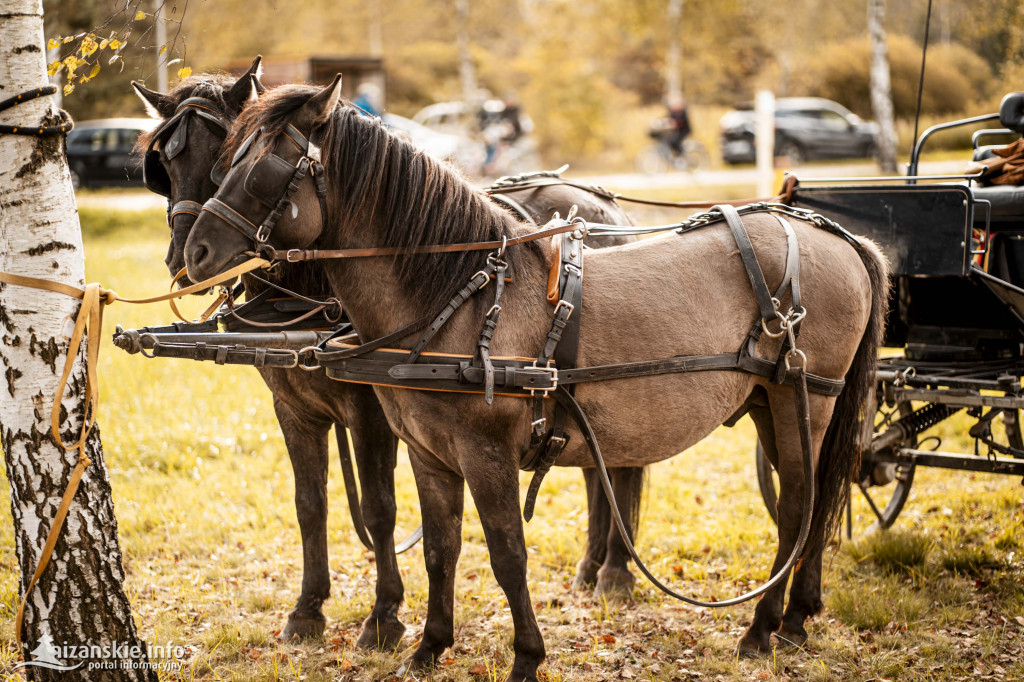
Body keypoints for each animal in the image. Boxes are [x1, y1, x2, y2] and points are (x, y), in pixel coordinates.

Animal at [184, 80, 888, 679]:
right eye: (225, 159)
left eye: (264, 165)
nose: (195, 253)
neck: (458, 298)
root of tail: (838, 237)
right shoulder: (428, 454)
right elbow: (441, 548)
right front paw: (429, 647)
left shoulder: (486, 452)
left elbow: (506, 554)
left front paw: (526, 656)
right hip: (771, 402)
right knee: (811, 502)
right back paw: (793, 619)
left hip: (804, 402)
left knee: (799, 506)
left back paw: (762, 627)